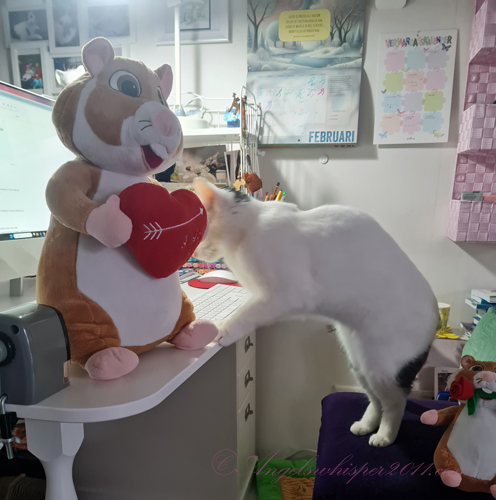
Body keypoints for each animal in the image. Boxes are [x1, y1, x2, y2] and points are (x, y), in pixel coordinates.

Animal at [193, 178, 439, 447]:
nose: (191, 254)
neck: (246, 228)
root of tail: (437, 319)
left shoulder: (287, 294)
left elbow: (246, 313)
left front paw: (222, 329)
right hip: (359, 362)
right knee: (376, 399)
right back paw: (365, 425)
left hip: (381, 365)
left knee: (396, 400)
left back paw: (385, 436)